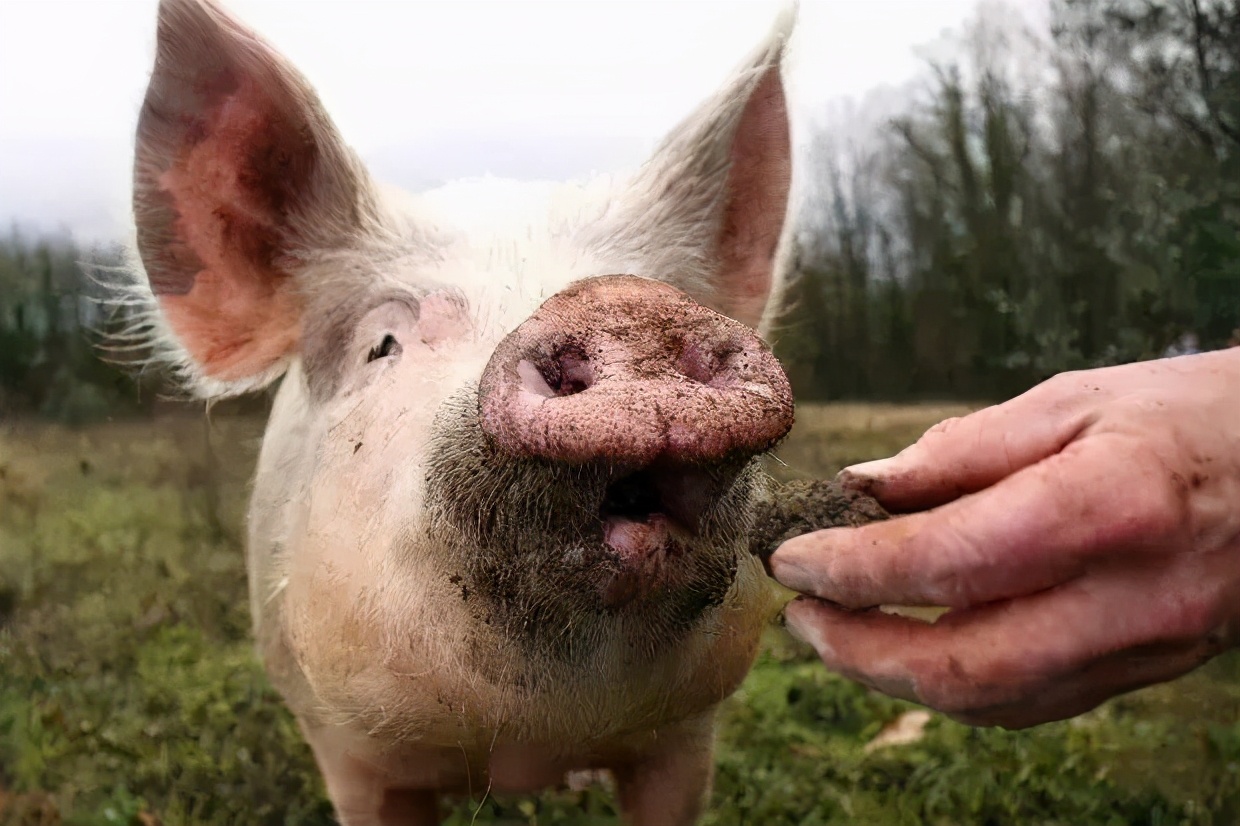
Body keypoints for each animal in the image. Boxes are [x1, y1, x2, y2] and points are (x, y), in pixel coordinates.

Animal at [128, 0, 793, 818]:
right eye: (381, 344)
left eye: (662, 292)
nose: (621, 302)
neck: (524, 750)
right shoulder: (348, 756)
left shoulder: (685, 740)